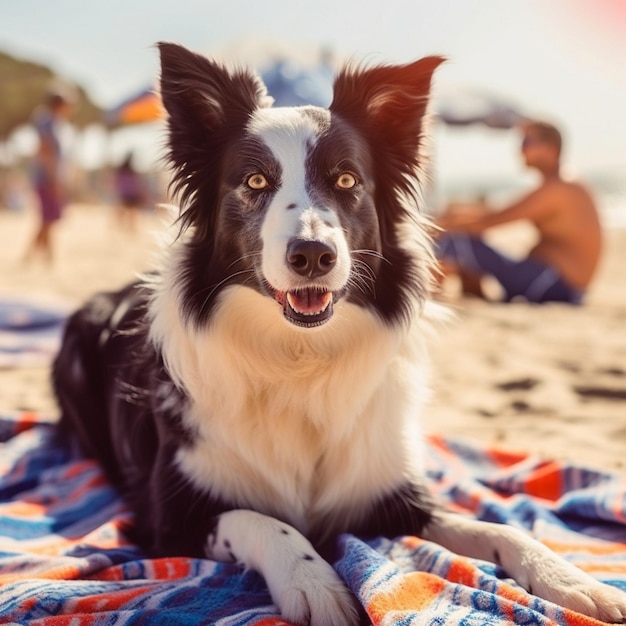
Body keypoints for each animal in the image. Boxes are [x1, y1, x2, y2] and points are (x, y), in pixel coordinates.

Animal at [53, 41, 624, 620]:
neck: (299, 356)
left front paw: (572, 580)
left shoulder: (389, 494)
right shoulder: (166, 518)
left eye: (347, 180)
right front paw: (315, 584)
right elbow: (265, 521)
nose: (312, 254)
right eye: (255, 182)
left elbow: (496, 529)